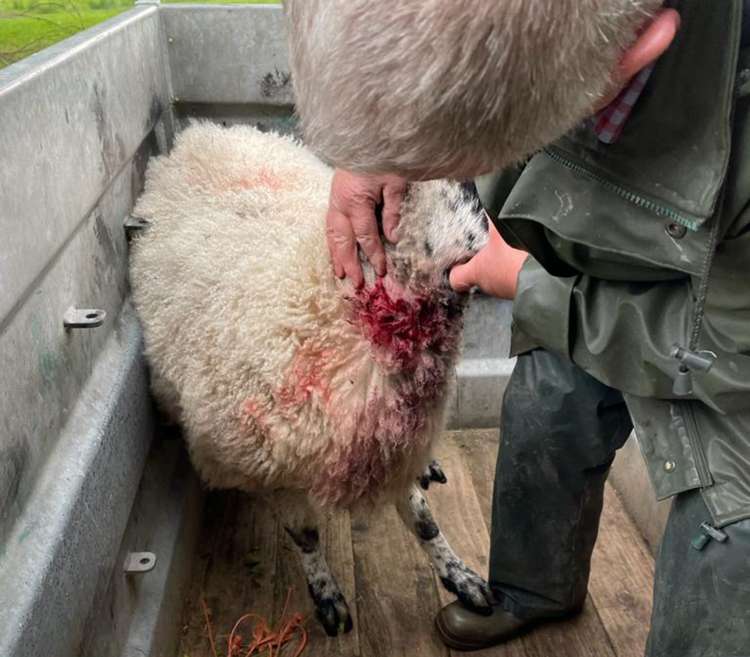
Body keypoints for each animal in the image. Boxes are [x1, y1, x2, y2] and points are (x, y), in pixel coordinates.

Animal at [128, 123, 494, 636]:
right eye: (465, 191)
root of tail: (206, 133)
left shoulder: (390, 441)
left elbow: (424, 522)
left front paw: (460, 577)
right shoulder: (272, 463)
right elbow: (304, 534)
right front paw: (327, 596)